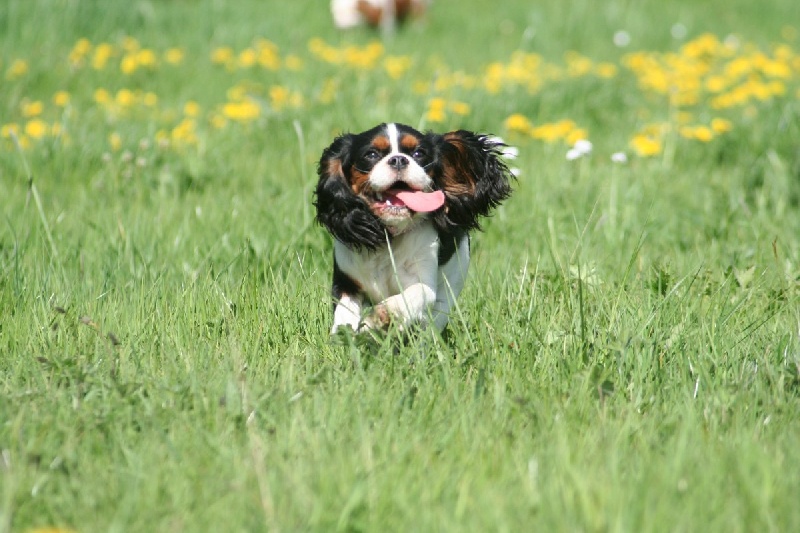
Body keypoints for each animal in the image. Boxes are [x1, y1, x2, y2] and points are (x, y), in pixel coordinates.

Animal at [312, 122, 512, 334]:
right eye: (371, 154)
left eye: (419, 153)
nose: (399, 159)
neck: (390, 235)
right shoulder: (346, 281)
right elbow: (345, 311)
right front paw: (344, 334)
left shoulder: (424, 281)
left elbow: (413, 295)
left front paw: (381, 316)